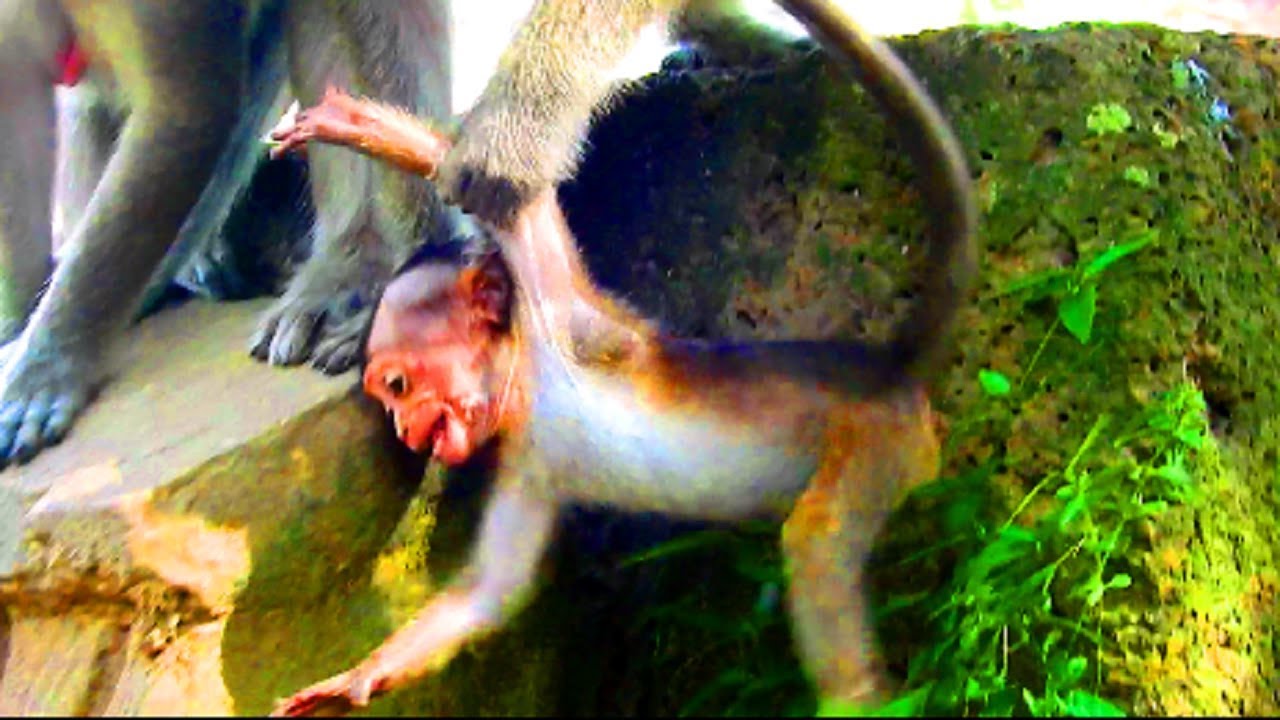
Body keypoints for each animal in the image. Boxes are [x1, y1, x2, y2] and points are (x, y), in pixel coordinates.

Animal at [263, 0, 976, 700]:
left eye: (398, 387)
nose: (405, 429)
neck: (533, 389)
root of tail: (890, 372)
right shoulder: (527, 464)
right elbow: (492, 592)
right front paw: (354, 681)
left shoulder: (565, 324)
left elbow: (514, 207)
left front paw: (364, 125)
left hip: (879, 442)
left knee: (818, 539)